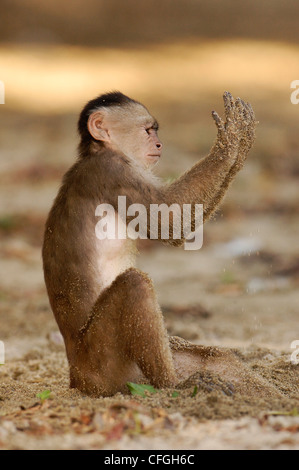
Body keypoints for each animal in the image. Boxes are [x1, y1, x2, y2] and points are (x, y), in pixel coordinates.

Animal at [42, 91, 276, 396]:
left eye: (155, 131)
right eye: (147, 130)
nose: (159, 143)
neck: (98, 152)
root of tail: (76, 376)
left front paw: (240, 143)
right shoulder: (113, 170)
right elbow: (169, 222)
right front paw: (232, 142)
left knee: (218, 358)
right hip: (102, 367)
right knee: (135, 284)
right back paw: (174, 386)